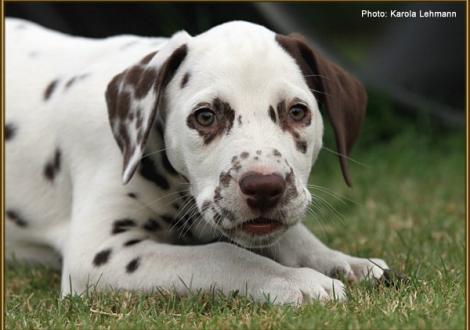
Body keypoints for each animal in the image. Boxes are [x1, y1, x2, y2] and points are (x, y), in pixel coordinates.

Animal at [6, 17, 390, 304]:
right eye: (205, 116)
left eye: (297, 112)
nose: (265, 187)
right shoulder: (97, 255)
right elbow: (222, 254)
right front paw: (295, 281)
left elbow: (295, 237)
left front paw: (346, 262)